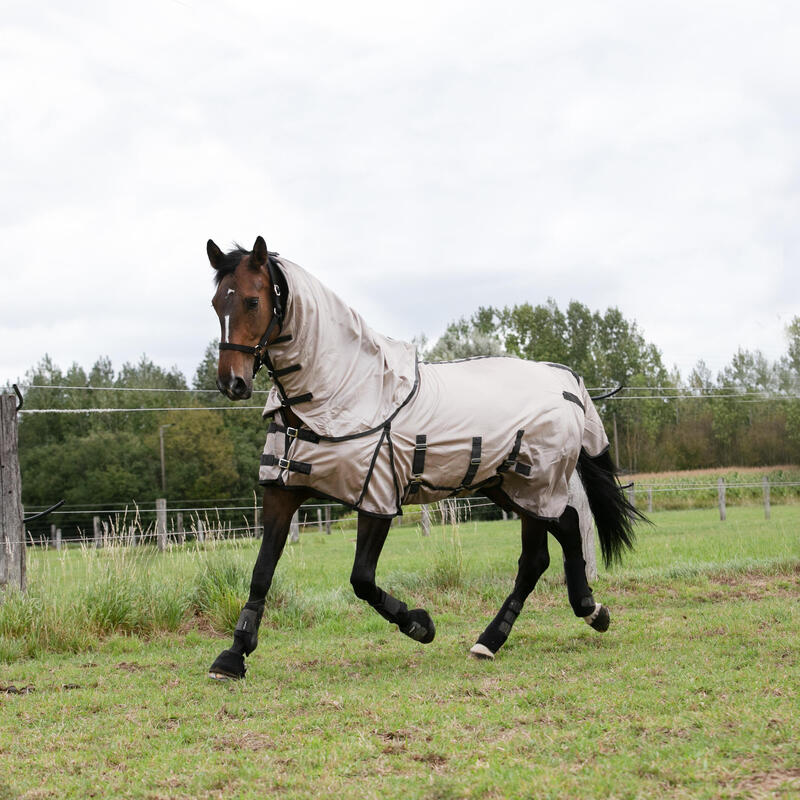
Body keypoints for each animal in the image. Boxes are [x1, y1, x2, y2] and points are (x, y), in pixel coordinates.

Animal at [206, 234, 644, 680]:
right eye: (216, 303)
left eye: (252, 301)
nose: (232, 383)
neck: (345, 393)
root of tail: (564, 381)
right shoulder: (284, 491)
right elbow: (262, 573)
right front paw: (233, 656)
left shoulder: (377, 497)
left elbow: (362, 579)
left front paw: (420, 625)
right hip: (509, 487)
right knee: (568, 526)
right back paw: (590, 610)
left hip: (534, 484)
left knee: (534, 559)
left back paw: (493, 639)